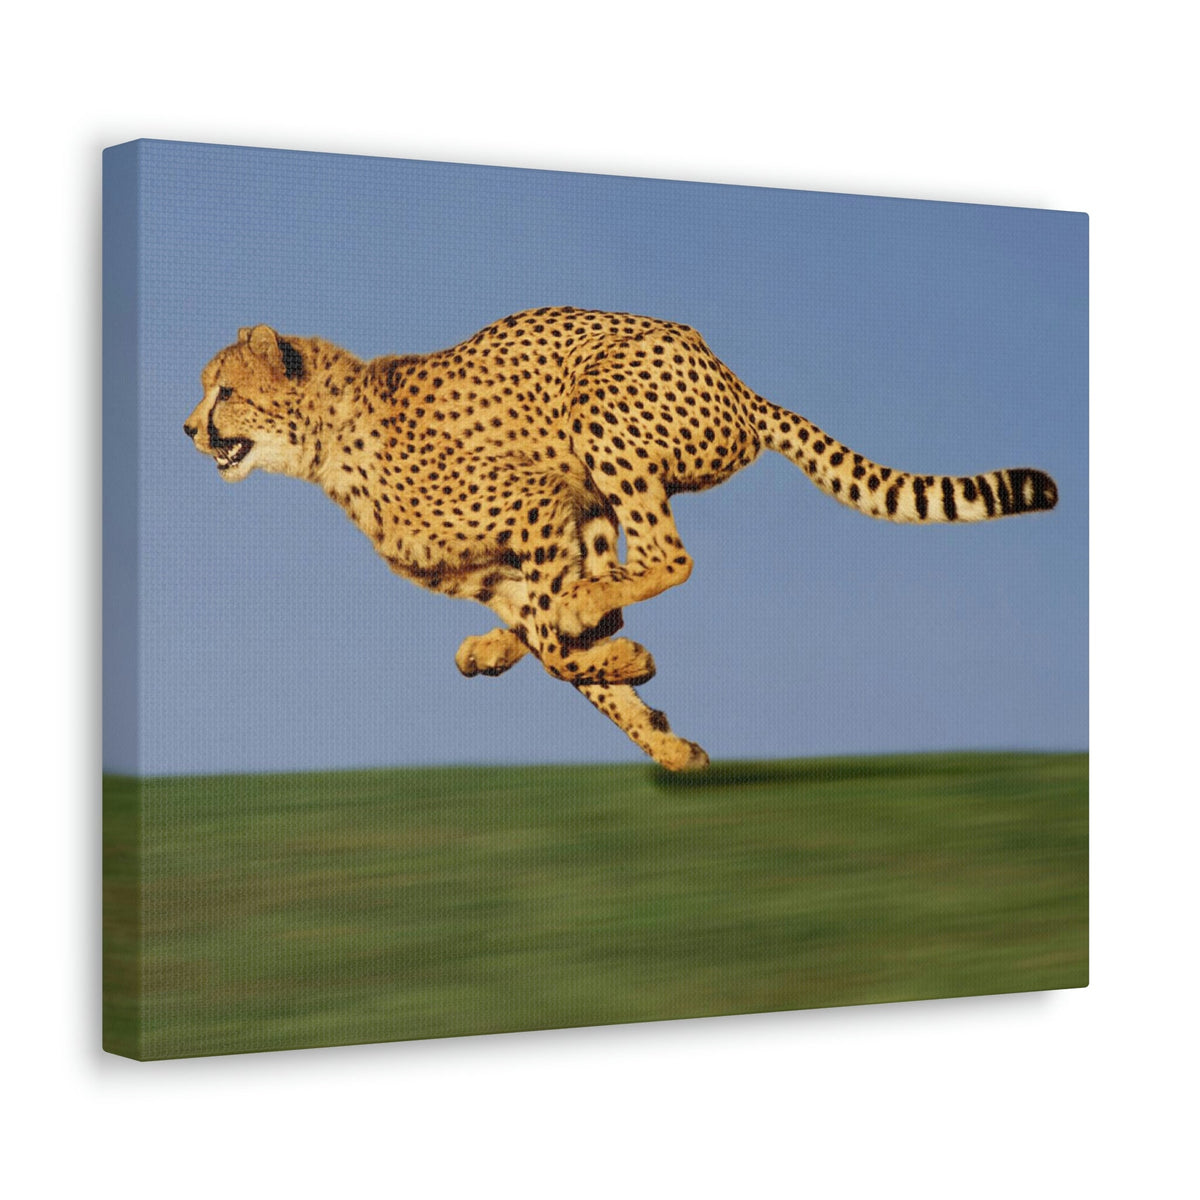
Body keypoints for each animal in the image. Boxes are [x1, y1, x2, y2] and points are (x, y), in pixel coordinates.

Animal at [185, 307, 1058, 771]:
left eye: (224, 390)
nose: (189, 428)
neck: (330, 444)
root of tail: (736, 381)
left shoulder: (534, 506)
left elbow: (564, 648)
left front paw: (631, 672)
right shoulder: (504, 566)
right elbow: (564, 655)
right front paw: (667, 744)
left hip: (598, 407)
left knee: (667, 557)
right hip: (595, 498)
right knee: (606, 586)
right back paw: (502, 647)